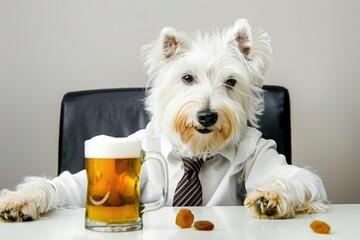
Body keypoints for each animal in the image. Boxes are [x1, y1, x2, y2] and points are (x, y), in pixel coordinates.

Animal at [0, 18, 328, 221]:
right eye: (187, 77)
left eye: (231, 82)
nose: (207, 116)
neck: (196, 152)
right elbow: (69, 185)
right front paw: (21, 199)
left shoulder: (261, 149)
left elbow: (295, 176)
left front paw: (269, 197)